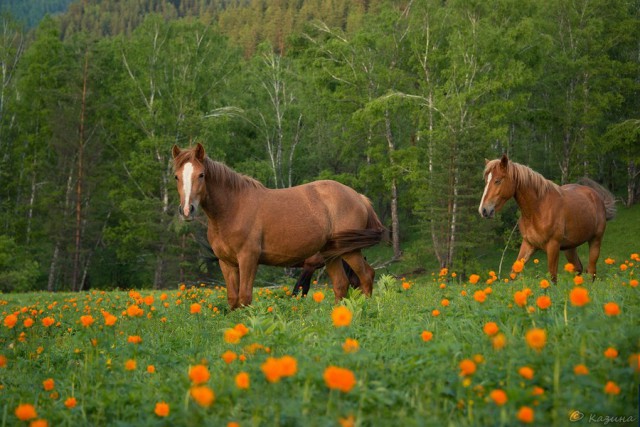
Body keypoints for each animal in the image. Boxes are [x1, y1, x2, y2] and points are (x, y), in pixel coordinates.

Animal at [171, 143, 384, 308]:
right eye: (176, 176)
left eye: (201, 175)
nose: (187, 210)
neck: (233, 208)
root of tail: (359, 197)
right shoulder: (227, 263)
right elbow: (233, 299)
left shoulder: (248, 259)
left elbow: (245, 297)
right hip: (332, 253)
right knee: (341, 284)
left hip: (350, 251)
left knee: (366, 276)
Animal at [480, 155, 616, 282]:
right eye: (486, 181)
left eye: (498, 180)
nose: (484, 210)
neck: (537, 210)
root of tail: (596, 197)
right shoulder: (528, 244)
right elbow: (514, 273)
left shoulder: (553, 246)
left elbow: (552, 277)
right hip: (570, 248)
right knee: (578, 269)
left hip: (595, 241)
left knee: (591, 271)